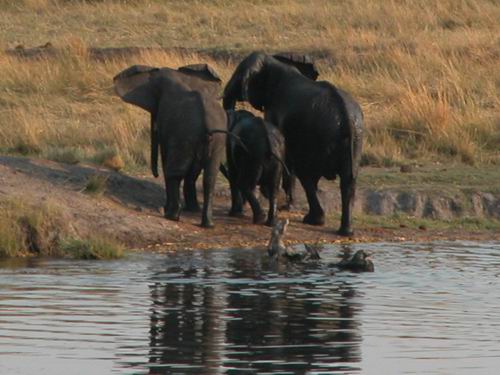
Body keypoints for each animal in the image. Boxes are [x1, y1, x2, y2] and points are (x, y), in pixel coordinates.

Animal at [113, 63, 227, 228]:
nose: (155, 174)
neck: (178, 77)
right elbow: (193, 172)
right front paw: (192, 210)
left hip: (185, 133)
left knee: (175, 172)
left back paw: (171, 215)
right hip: (218, 138)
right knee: (209, 178)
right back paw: (208, 224)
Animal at [224, 52, 364, 238]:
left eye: (239, 76)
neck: (275, 64)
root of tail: (346, 117)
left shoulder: (275, 111)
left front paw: (282, 204)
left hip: (317, 137)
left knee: (307, 175)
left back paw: (314, 220)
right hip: (355, 140)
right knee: (348, 181)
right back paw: (345, 232)